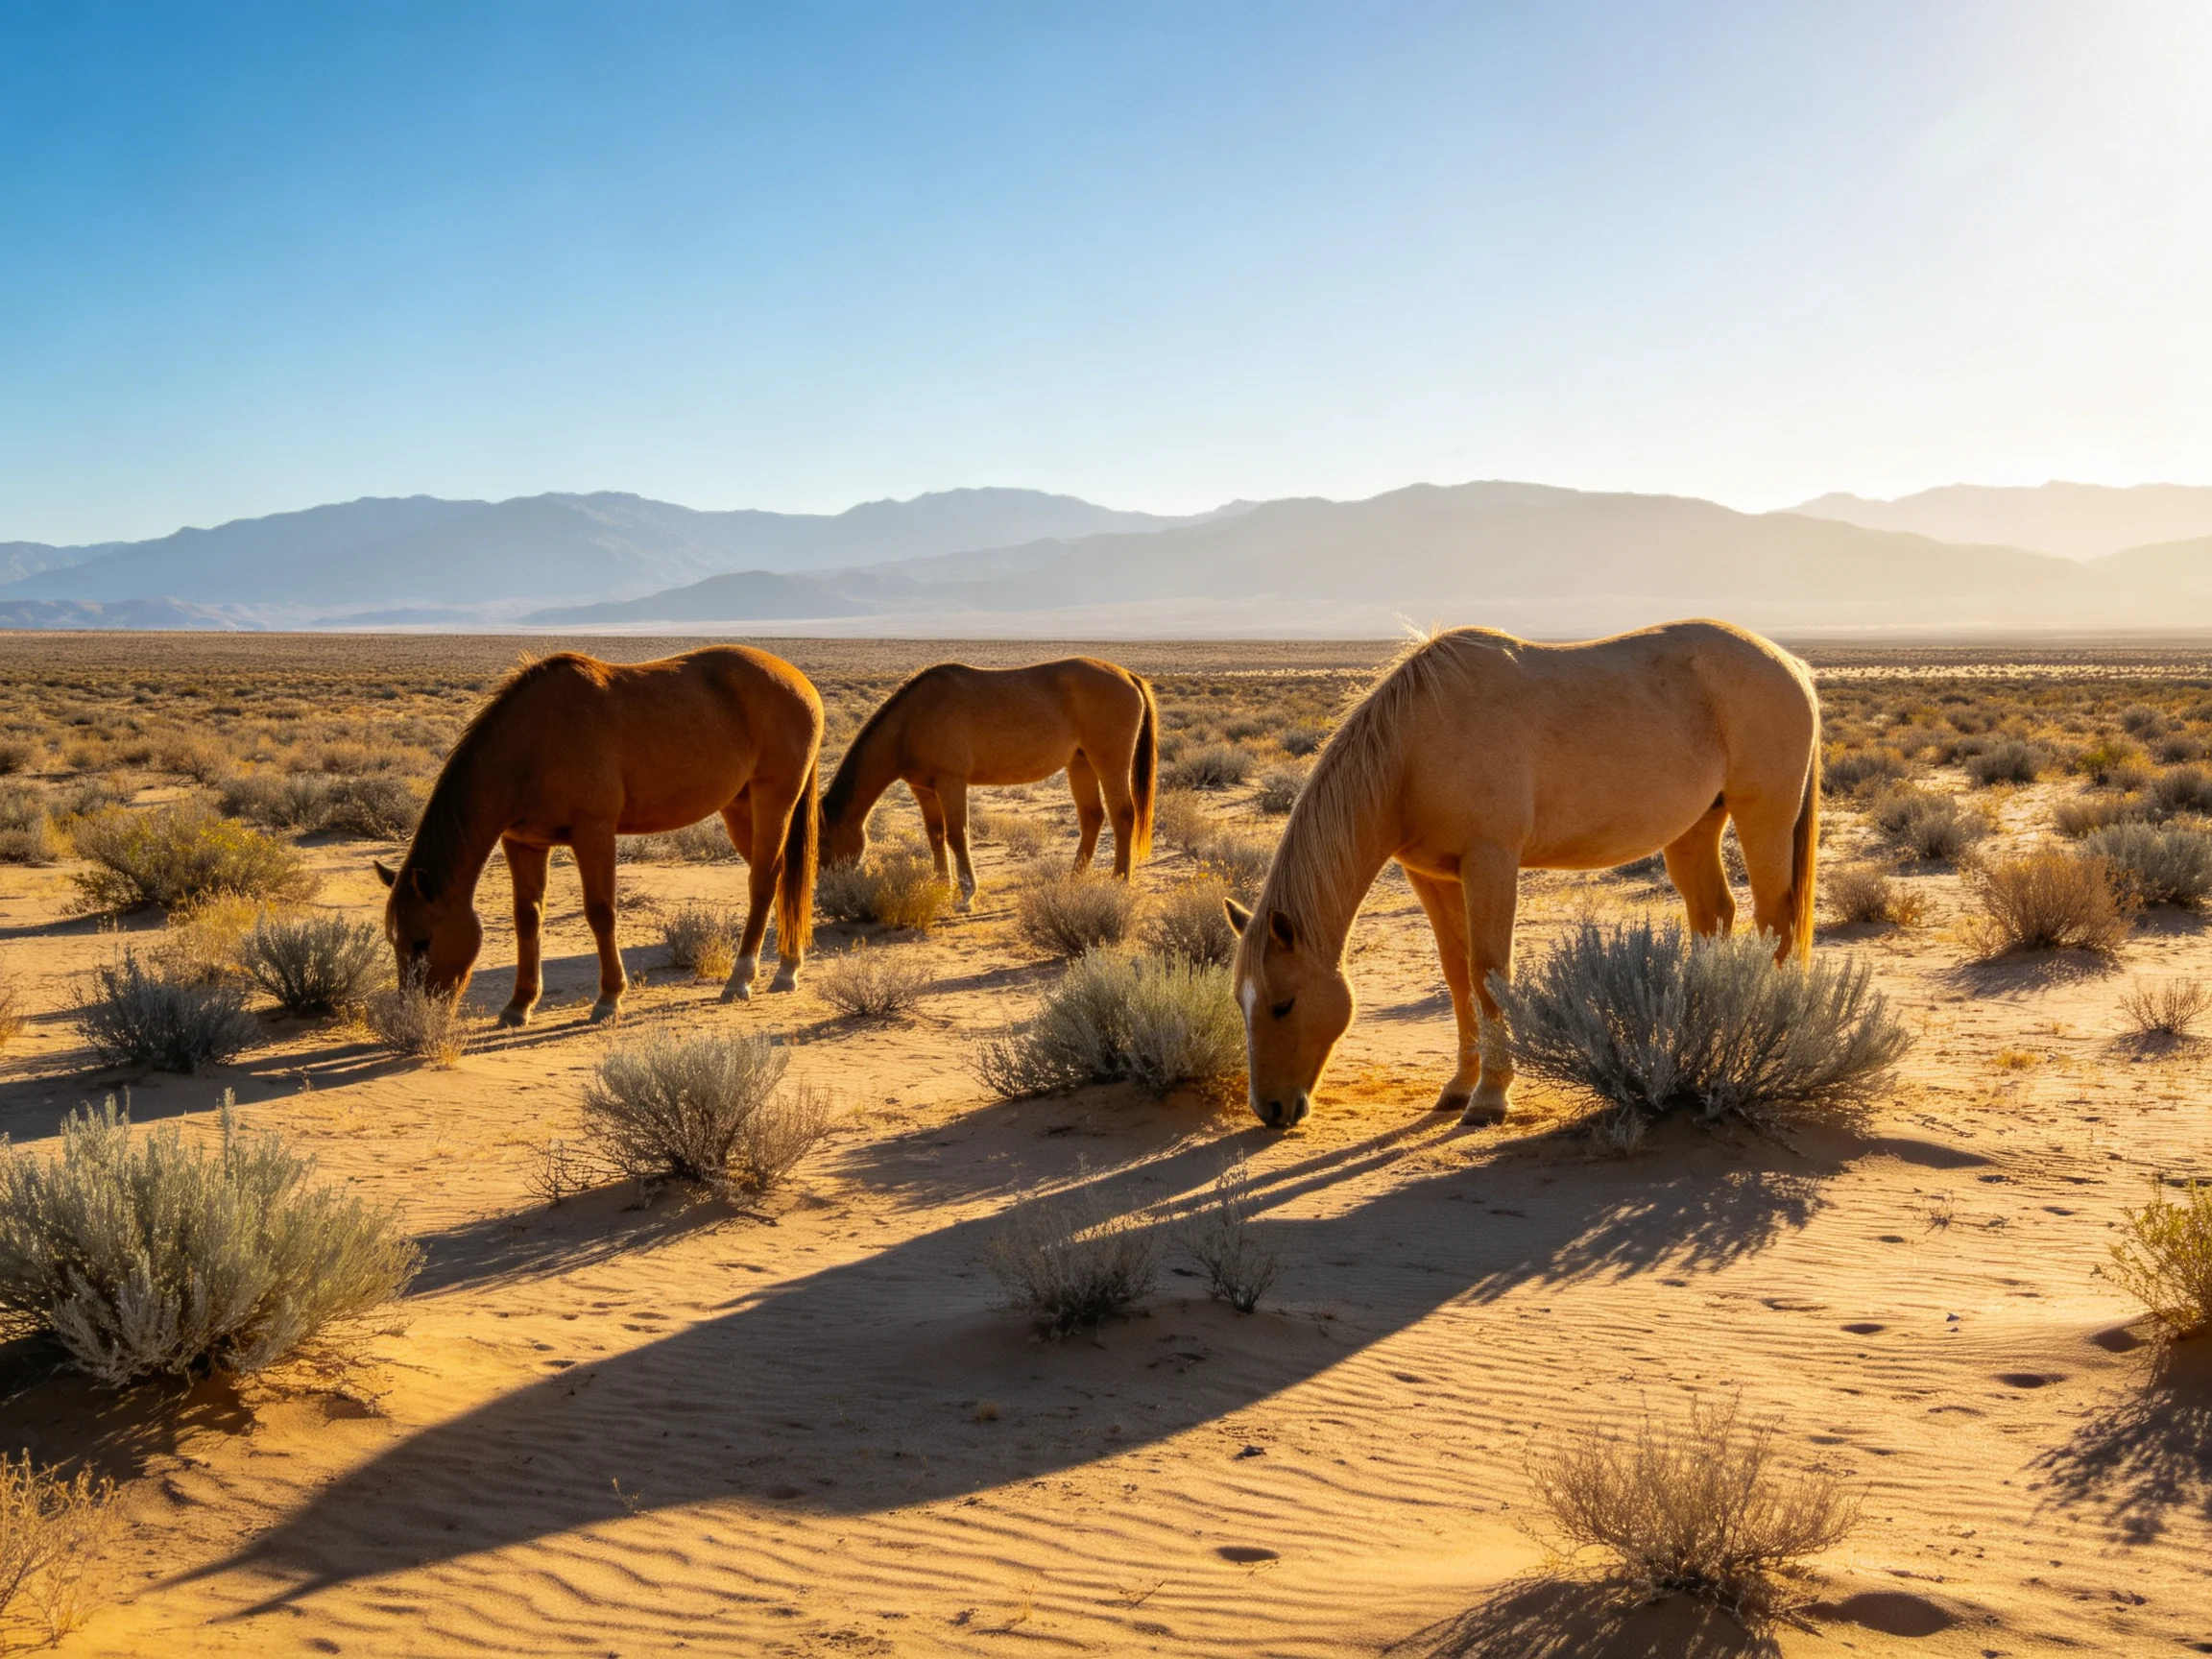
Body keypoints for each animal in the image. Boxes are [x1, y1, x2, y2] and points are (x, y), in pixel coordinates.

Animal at [376, 646, 822, 1024]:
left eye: (421, 941)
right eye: (395, 942)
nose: (412, 1015)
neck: (532, 742)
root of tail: (801, 683)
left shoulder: (594, 832)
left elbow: (601, 912)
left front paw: (609, 998)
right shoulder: (523, 843)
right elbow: (527, 918)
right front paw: (520, 1004)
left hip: (773, 800)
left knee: (763, 880)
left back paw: (741, 978)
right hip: (739, 808)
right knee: (781, 876)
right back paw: (787, 968)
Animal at [820, 657, 1158, 906]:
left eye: (823, 839)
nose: (826, 887)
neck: (912, 720)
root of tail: (1128, 676)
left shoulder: (951, 782)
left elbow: (956, 834)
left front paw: (966, 894)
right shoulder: (924, 789)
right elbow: (935, 835)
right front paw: (940, 884)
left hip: (1109, 765)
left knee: (1123, 816)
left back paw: (1119, 879)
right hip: (1080, 764)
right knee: (1092, 818)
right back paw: (1074, 878)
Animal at [1226, 619, 1820, 1129]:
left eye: (1284, 1004)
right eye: (1240, 1001)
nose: (1270, 1109)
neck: (1416, 745)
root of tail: (1792, 666)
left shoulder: (1491, 862)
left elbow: (1488, 973)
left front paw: (1491, 1095)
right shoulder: (1432, 877)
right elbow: (1457, 975)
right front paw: (1459, 1086)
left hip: (1762, 818)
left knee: (1775, 923)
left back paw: (1767, 1040)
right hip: (1695, 827)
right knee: (1713, 916)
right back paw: (1700, 1035)